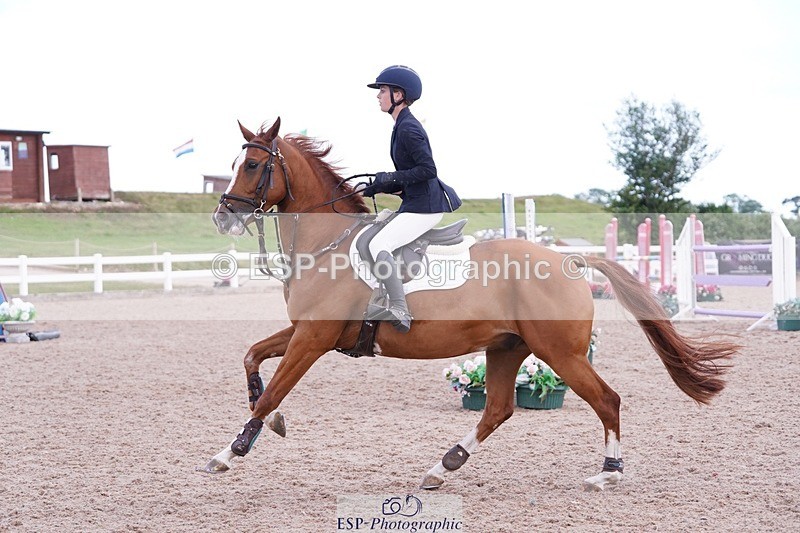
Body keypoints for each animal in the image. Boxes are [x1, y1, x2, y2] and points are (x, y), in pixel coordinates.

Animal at [203, 117, 738, 491]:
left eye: (253, 166)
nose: (222, 218)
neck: (326, 245)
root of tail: (569, 260)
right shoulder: (307, 331)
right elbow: (252, 358)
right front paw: (272, 424)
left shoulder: (314, 338)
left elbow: (273, 390)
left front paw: (231, 452)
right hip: (508, 347)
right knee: (498, 408)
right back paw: (444, 466)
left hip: (559, 353)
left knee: (606, 400)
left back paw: (607, 473)